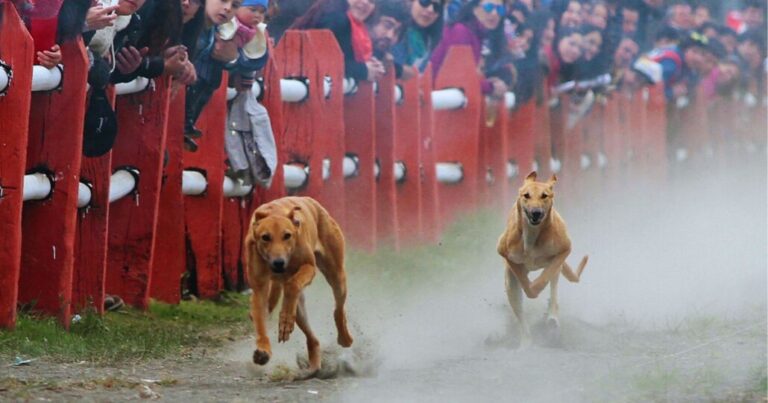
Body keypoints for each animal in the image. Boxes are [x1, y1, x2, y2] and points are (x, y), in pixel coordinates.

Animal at [243, 196, 354, 378]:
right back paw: (313, 366)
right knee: (313, 338)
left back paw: (344, 337)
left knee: (338, 309)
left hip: (336, 275)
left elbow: (292, 284)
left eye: (287, 235)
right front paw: (263, 350)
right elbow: (260, 319)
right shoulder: (259, 288)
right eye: (265, 237)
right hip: (301, 310)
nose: (278, 263)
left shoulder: (308, 267)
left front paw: (285, 318)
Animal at [498, 172, 588, 346]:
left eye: (544, 195)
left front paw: (536, 286)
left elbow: (545, 276)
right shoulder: (505, 253)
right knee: (520, 312)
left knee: (553, 288)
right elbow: (523, 279)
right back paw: (526, 342)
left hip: (556, 268)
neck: (532, 237)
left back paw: (552, 318)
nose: (536, 212)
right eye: (526, 195)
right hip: (510, 285)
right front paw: (530, 286)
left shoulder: (564, 250)